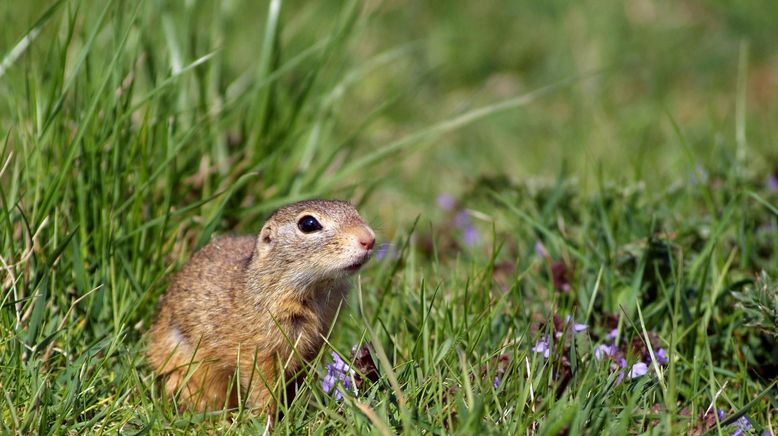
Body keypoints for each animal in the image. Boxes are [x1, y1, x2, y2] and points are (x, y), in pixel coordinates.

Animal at [149, 200, 376, 412]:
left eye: (353, 209)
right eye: (308, 224)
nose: (369, 239)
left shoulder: (313, 347)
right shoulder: (259, 352)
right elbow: (263, 388)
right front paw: (267, 419)